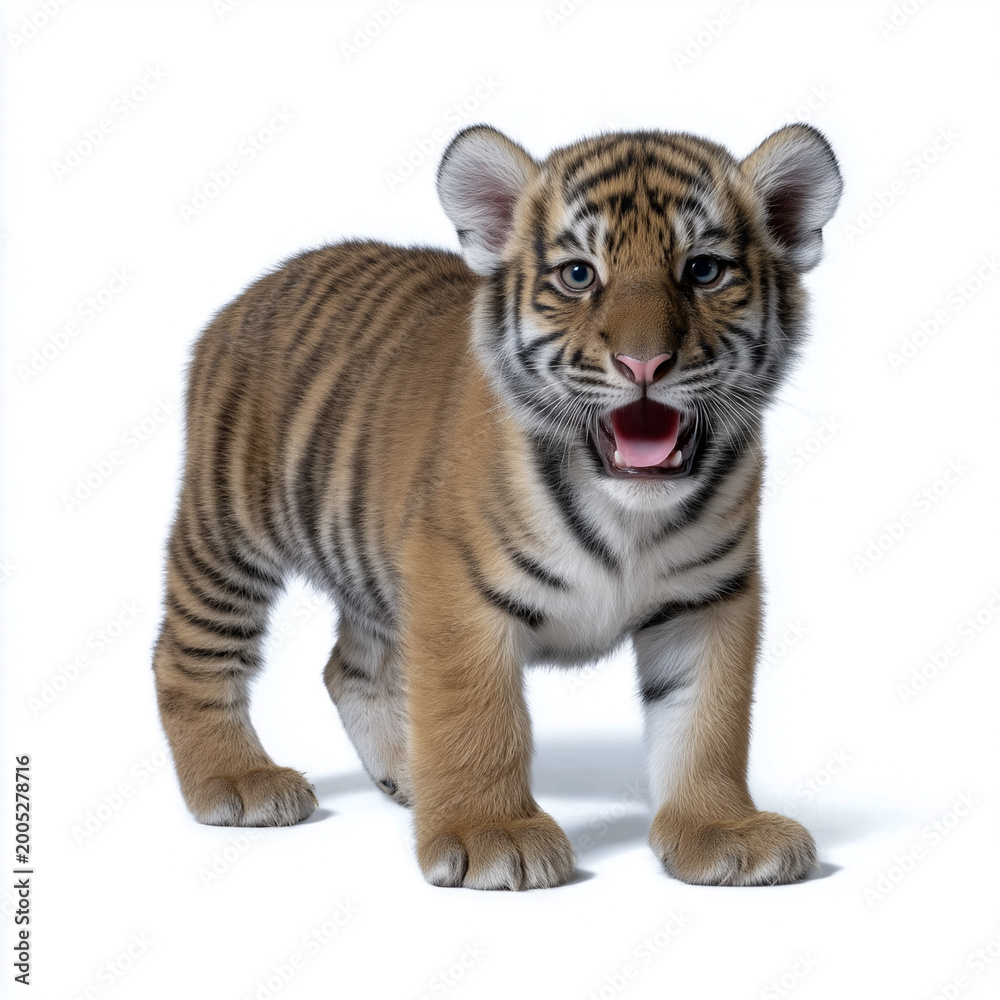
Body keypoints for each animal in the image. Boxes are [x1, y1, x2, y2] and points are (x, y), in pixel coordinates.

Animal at [152, 121, 842, 890]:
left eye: (703, 271)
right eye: (578, 275)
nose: (643, 365)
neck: (627, 515)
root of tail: (258, 285)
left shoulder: (711, 596)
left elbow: (706, 723)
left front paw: (721, 832)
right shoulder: (454, 588)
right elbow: (476, 718)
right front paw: (490, 834)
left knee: (350, 668)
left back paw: (408, 776)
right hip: (228, 531)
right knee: (187, 655)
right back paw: (237, 782)